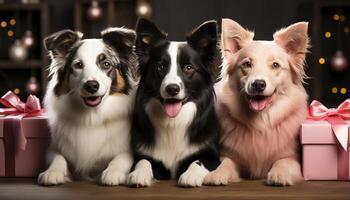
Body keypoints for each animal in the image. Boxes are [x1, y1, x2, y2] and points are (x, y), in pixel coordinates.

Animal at [37, 27, 138, 186]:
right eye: (78, 65)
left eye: (106, 64)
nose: (91, 85)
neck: (91, 116)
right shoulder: (53, 147)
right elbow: (58, 157)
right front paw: (52, 172)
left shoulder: (127, 150)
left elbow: (121, 158)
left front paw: (113, 172)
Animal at [129, 18, 220, 188]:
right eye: (160, 67)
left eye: (188, 68)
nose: (172, 89)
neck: (173, 122)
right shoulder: (146, 155)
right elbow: (143, 161)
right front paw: (139, 174)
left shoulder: (212, 156)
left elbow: (198, 161)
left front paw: (190, 175)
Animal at [205, 18, 308, 186]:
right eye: (247, 64)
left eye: (275, 65)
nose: (258, 84)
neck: (261, 122)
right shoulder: (231, 155)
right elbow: (225, 163)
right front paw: (216, 173)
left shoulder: (293, 158)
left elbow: (283, 162)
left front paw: (279, 174)